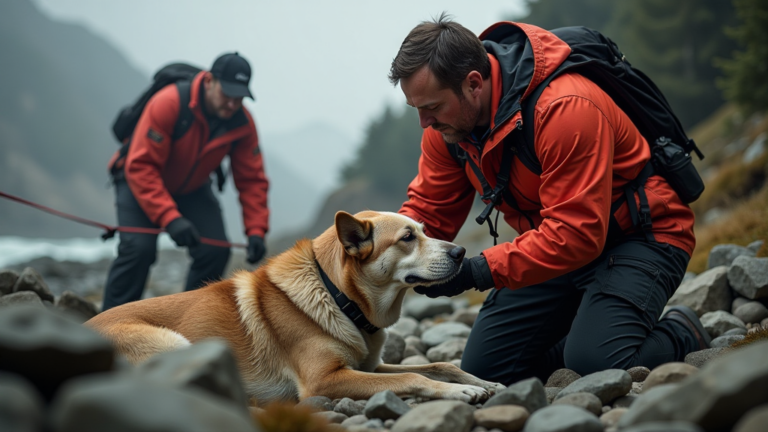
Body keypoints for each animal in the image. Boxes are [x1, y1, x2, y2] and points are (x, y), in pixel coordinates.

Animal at [85, 212, 504, 404]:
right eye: (407, 238)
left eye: (423, 230)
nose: (461, 252)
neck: (338, 296)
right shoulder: (326, 379)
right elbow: (413, 377)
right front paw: (460, 392)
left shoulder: (368, 365)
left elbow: (440, 364)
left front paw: (485, 383)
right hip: (174, 345)